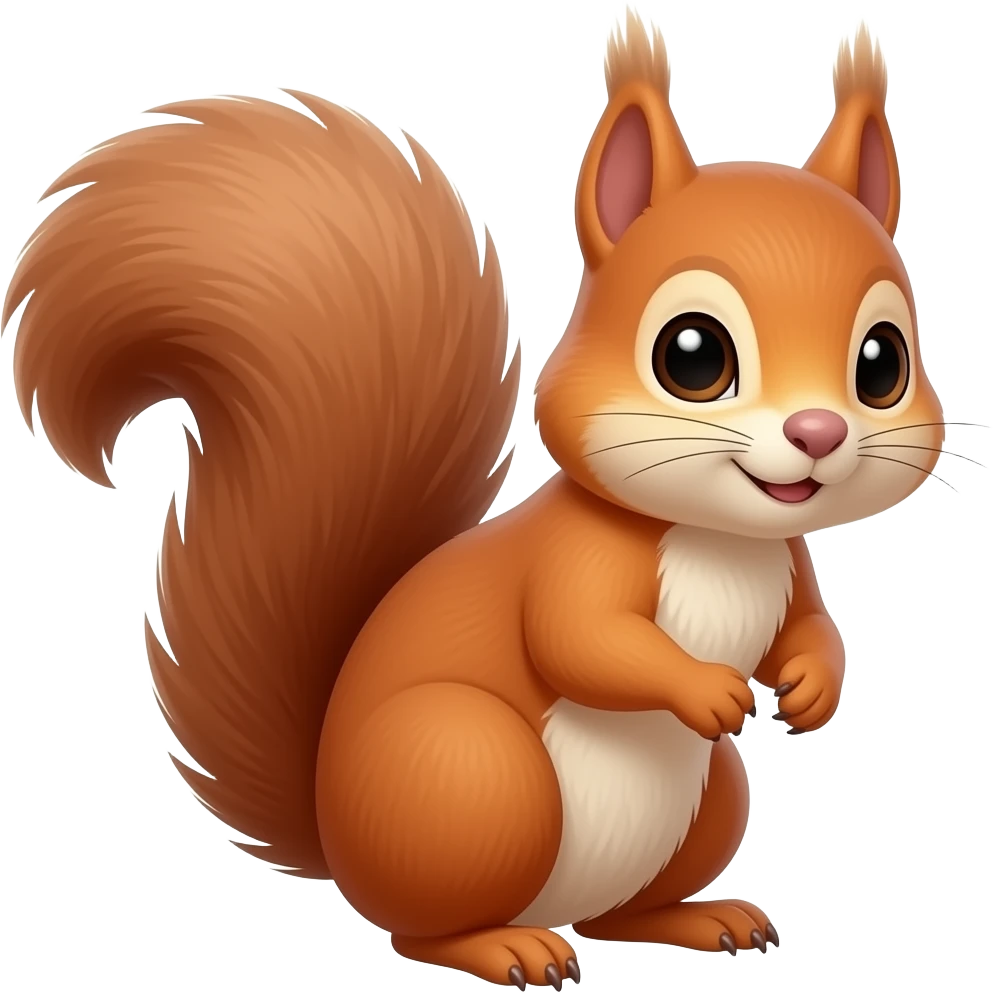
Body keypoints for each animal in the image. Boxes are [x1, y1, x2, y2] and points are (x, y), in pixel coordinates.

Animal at [5, 5, 947, 988]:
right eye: (692, 355)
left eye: (881, 362)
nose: (817, 433)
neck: (718, 536)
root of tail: (339, 843)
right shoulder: (574, 561)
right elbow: (583, 640)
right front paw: (706, 688)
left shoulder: (788, 563)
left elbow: (808, 625)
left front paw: (812, 686)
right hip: (470, 771)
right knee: (421, 928)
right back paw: (506, 947)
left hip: (709, 796)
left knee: (617, 915)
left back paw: (698, 917)